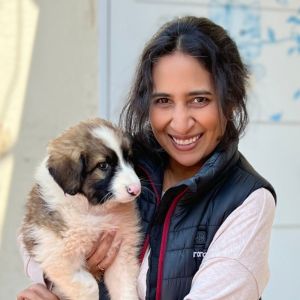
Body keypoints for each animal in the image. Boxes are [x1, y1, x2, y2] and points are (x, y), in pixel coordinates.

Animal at [18, 118, 142, 298]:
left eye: (129, 158)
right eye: (103, 165)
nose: (136, 190)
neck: (93, 211)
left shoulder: (121, 252)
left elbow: (125, 288)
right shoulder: (57, 257)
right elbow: (89, 285)